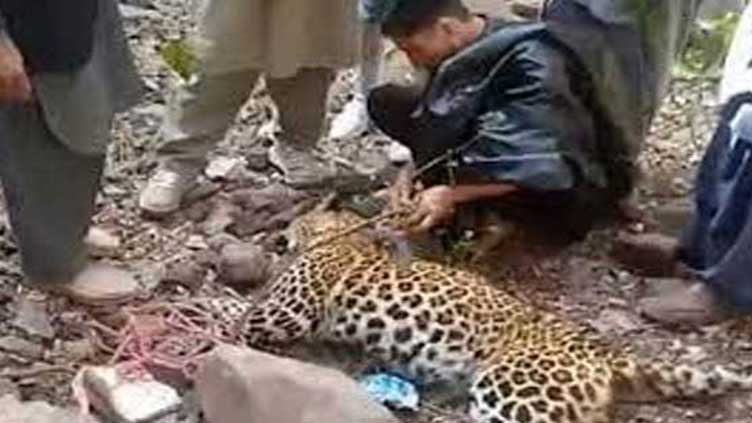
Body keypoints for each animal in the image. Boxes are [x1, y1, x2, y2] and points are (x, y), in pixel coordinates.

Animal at [211, 210, 752, 423]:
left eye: (296, 223)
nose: (281, 232)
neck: (348, 238)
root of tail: (600, 349)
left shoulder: (286, 311)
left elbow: (241, 311)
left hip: (511, 392)